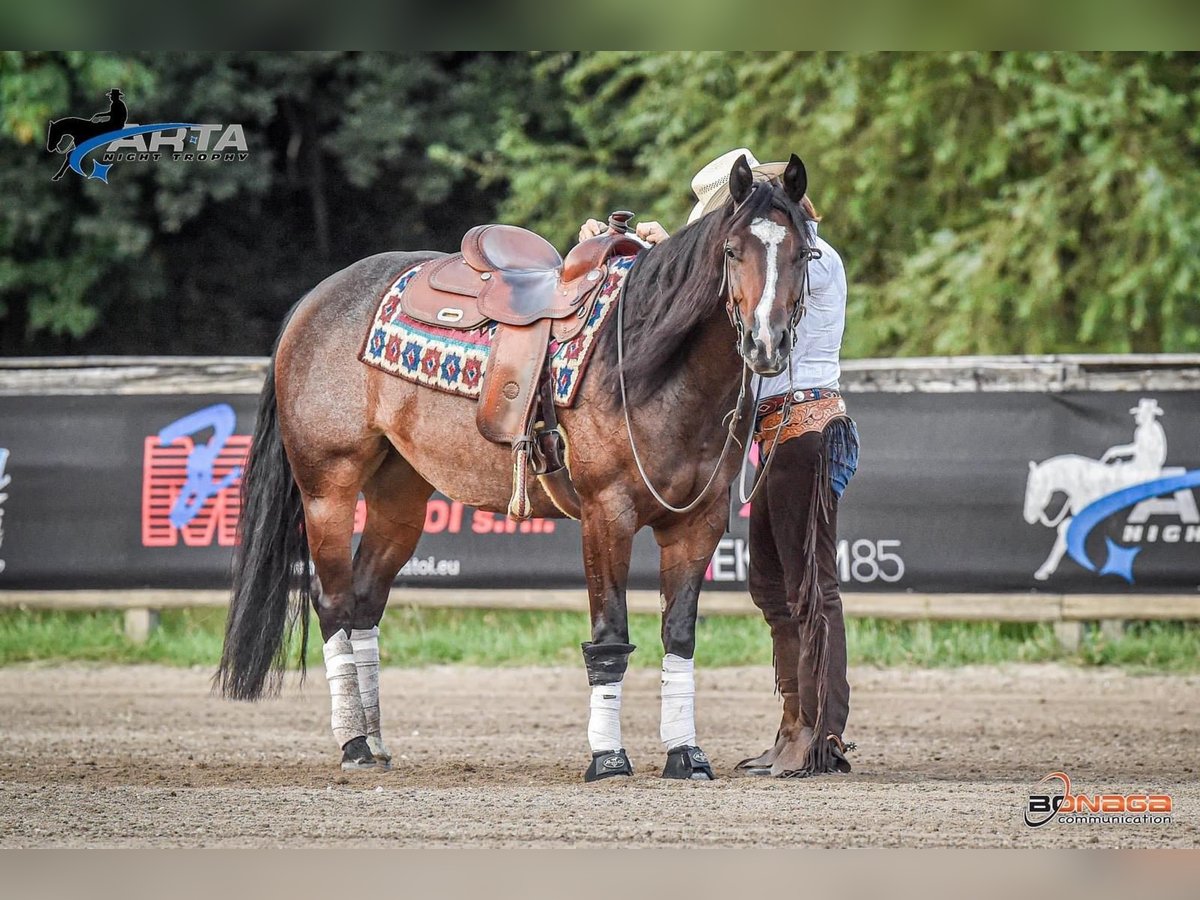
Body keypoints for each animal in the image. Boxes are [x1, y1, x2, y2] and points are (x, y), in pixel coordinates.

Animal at [216, 153, 816, 782]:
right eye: (732, 250)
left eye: (804, 252)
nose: (767, 343)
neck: (647, 361)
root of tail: (312, 302)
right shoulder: (607, 513)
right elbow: (609, 638)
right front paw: (607, 758)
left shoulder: (698, 523)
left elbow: (678, 636)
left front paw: (685, 754)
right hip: (327, 487)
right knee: (332, 602)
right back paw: (354, 744)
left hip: (399, 497)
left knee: (363, 602)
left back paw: (375, 742)